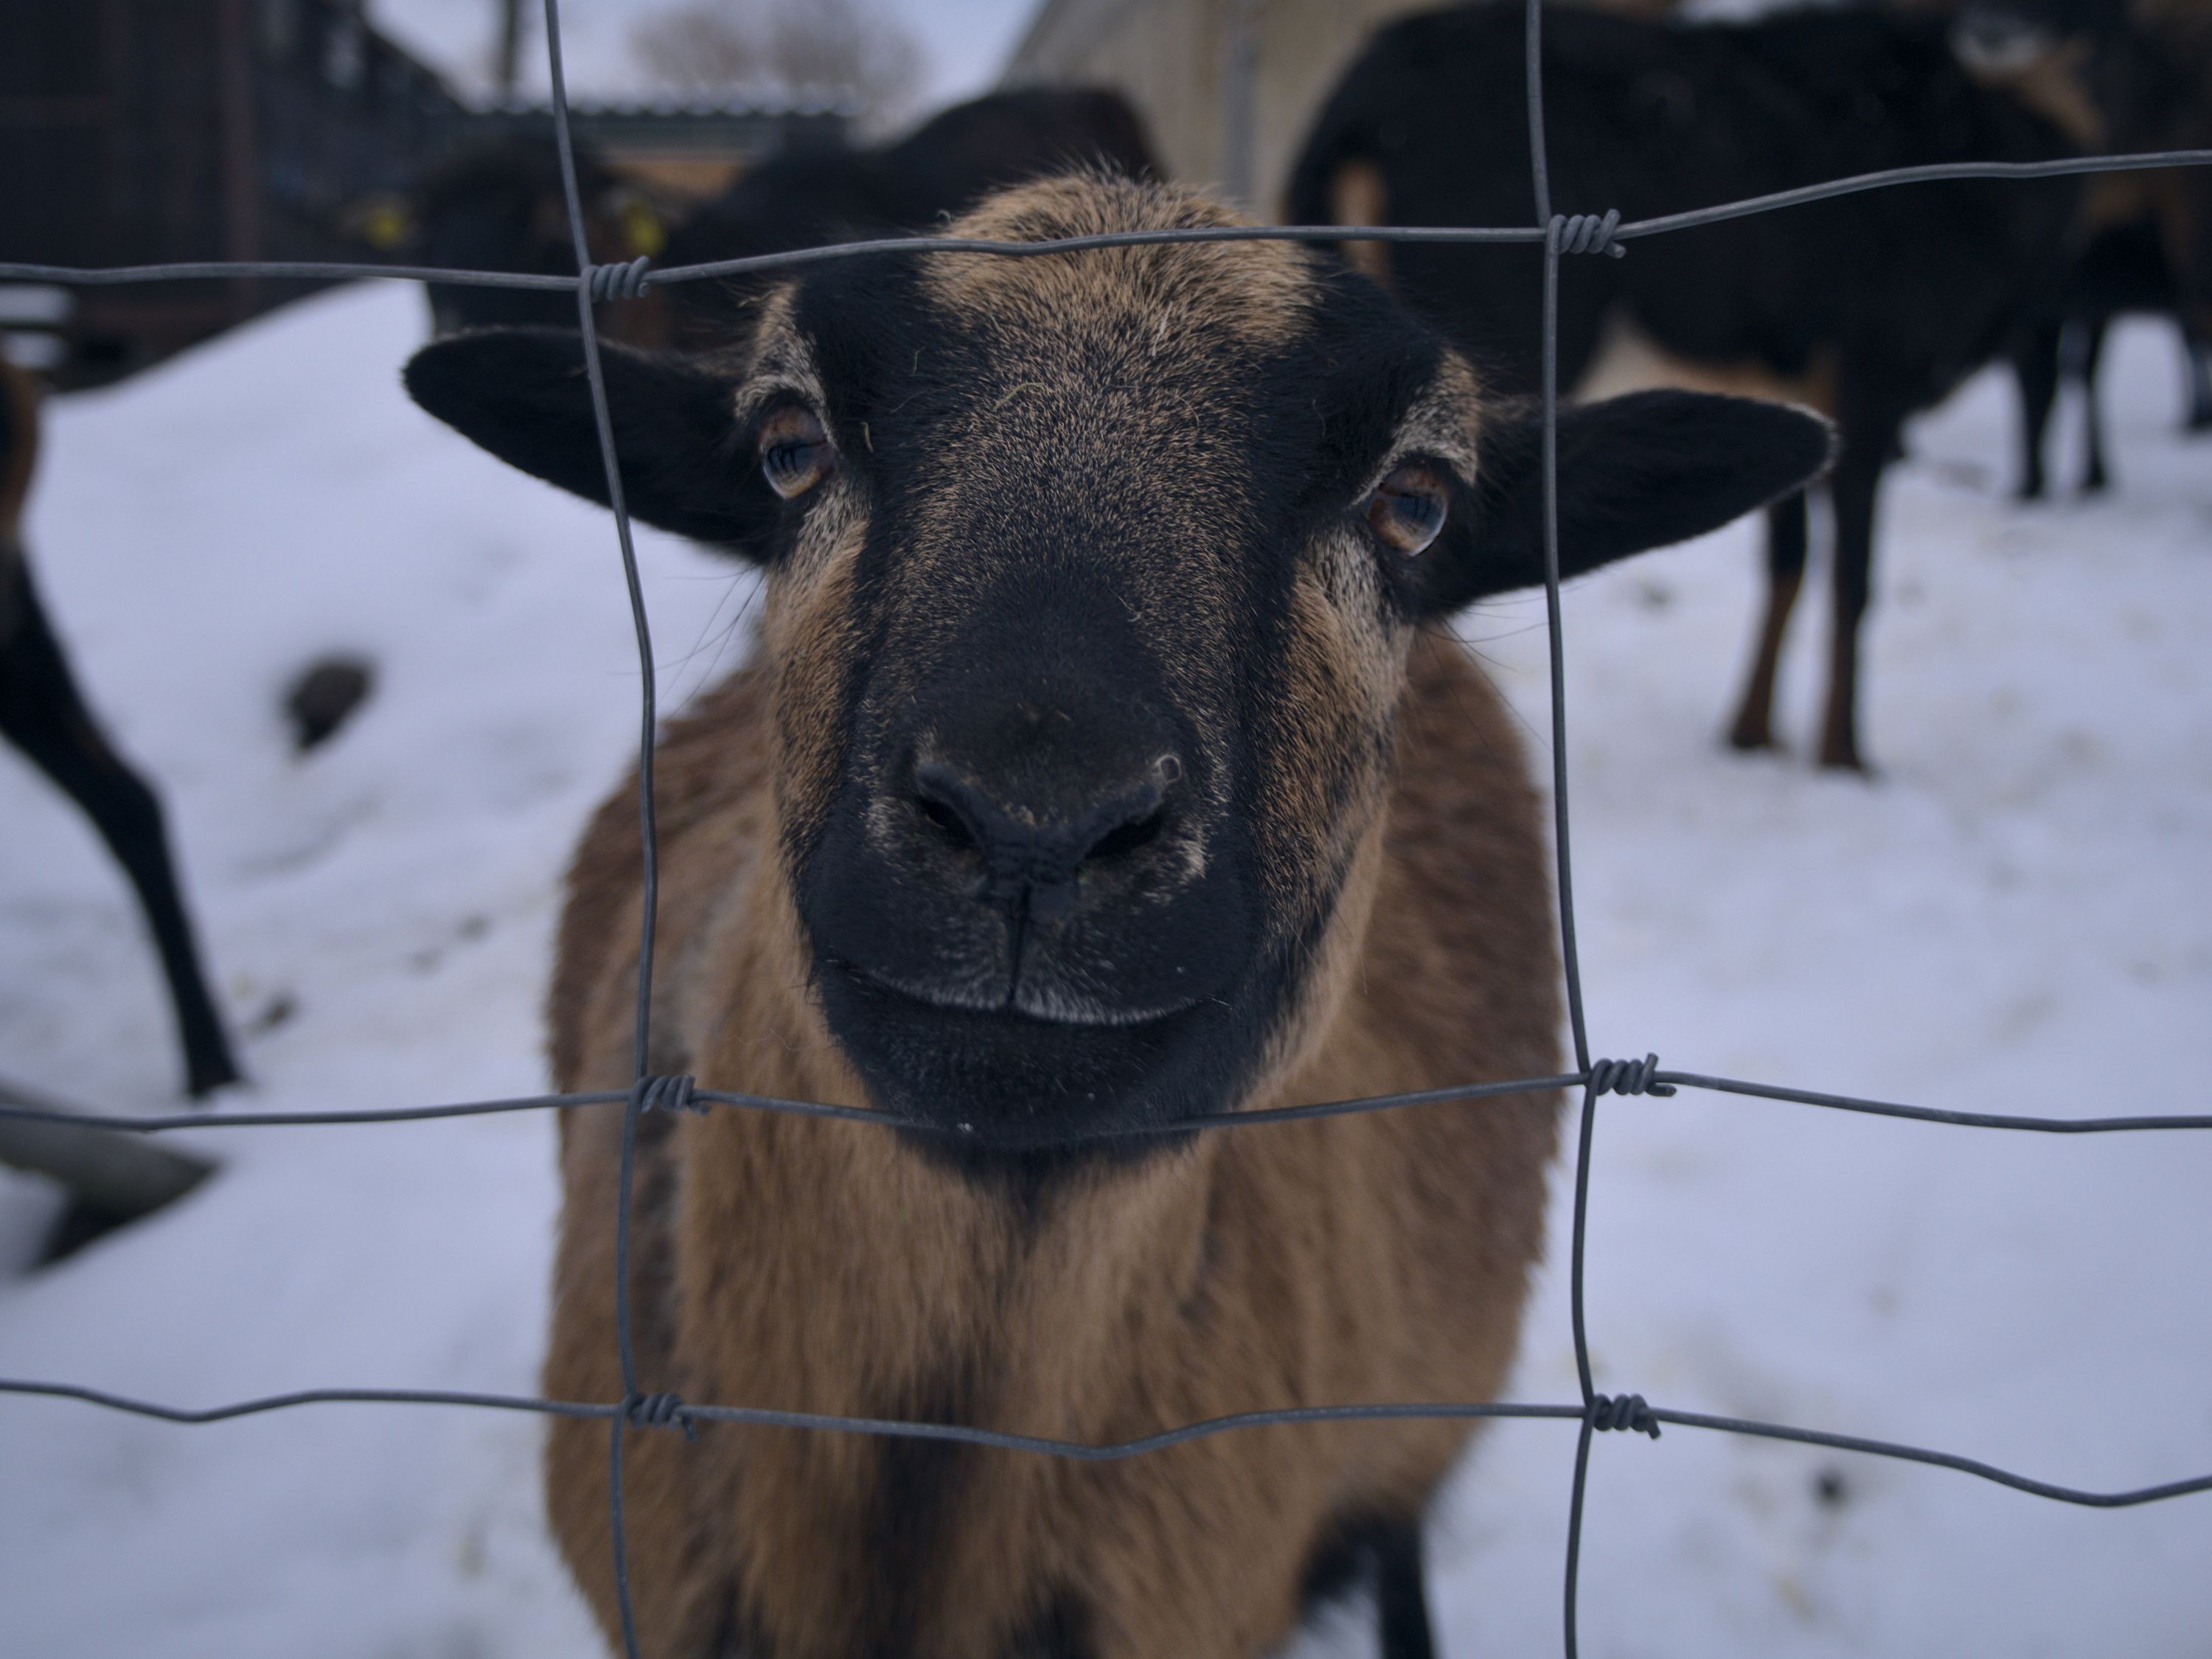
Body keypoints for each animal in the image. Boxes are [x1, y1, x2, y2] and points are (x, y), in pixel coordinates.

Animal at [1292, 0, 2079, 774]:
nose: (1997, 28)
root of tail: (1355, 110)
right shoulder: (1872, 374)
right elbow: (1853, 581)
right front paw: (1846, 760)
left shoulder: (1798, 385)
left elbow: (1788, 559)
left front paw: (1752, 736)